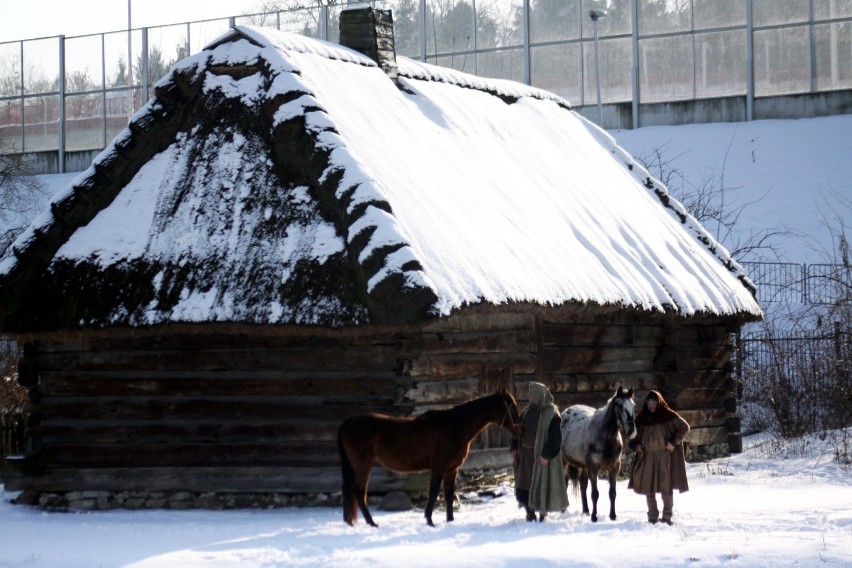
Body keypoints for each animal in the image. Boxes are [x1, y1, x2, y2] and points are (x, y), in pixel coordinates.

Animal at [338, 388, 524, 524]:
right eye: (511, 407)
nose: (520, 429)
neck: (454, 426)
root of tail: (349, 422)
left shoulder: (451, 469)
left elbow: (449, 494)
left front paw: (450, 520)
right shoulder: (438, 467)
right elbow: (434, 492)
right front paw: (429, 520)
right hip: (363, 466)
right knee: (359, 492)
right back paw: (372, 523)